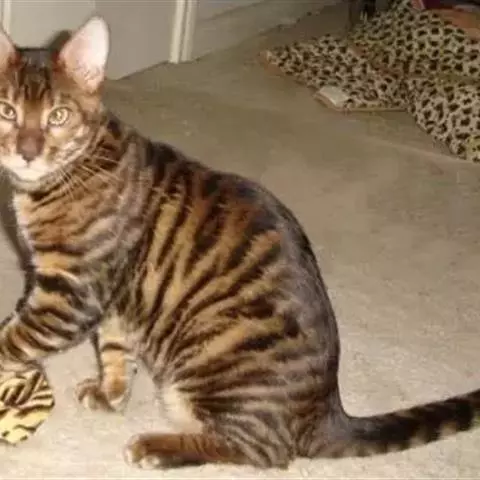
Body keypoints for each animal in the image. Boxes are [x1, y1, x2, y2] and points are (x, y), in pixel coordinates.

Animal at [0, 16, 477, 470]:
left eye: (58, 116)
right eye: (6, 111)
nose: (27, 151)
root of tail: (325, 410)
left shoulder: (70, 293)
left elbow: (14, 338)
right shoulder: (113, 300)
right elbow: (116, 352)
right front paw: (111, 394)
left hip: (212, 369)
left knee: (265, 451)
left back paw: (158, 446)